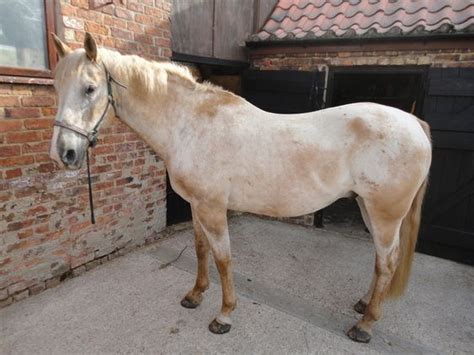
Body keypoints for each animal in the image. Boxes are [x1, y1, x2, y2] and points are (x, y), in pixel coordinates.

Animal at [50, 34, 432, 344]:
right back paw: (364, 305)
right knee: (382, 261)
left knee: (387, 261)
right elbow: (200, 249)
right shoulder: (196, 205)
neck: (190, 125)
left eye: (89, 88)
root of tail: (414, 122)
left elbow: (223, 258)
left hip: (385, 214)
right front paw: (195, 295)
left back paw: (365, 326)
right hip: (367, 207)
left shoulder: (213, 208)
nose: (64, 153)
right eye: (56, 86)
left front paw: (224, 315)